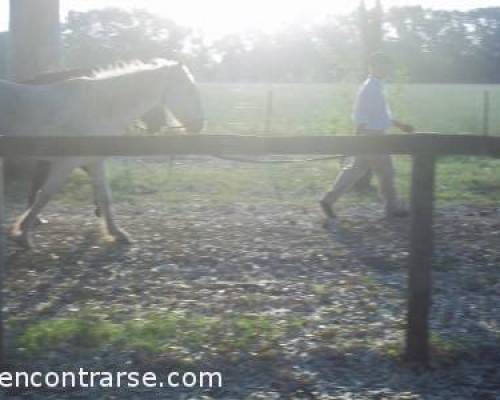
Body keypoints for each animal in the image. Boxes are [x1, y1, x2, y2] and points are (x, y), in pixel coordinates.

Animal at [0, 59, 204, 248]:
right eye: (188, 90)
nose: (199, 126)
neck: (97, 108)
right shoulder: (65, 163)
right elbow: (45, 195)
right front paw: (23, 235)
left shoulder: (94, 161)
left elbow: (105, 197)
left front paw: (117, 233)